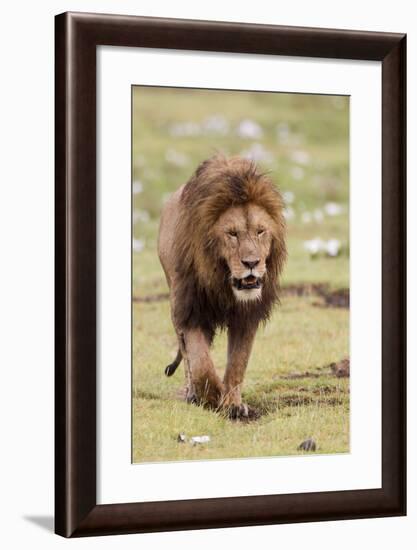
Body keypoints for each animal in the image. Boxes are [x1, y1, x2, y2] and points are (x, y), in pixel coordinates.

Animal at [157, 155, 286, 418]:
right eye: (232, 233)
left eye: (260, 231)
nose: (251, 263)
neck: (221, 281)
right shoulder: (190, 309)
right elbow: (200, 362)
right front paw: (212, 395)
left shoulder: (246, 316)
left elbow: (238, 362)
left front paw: (233, 404)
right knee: (187, 357)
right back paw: (192, 393)